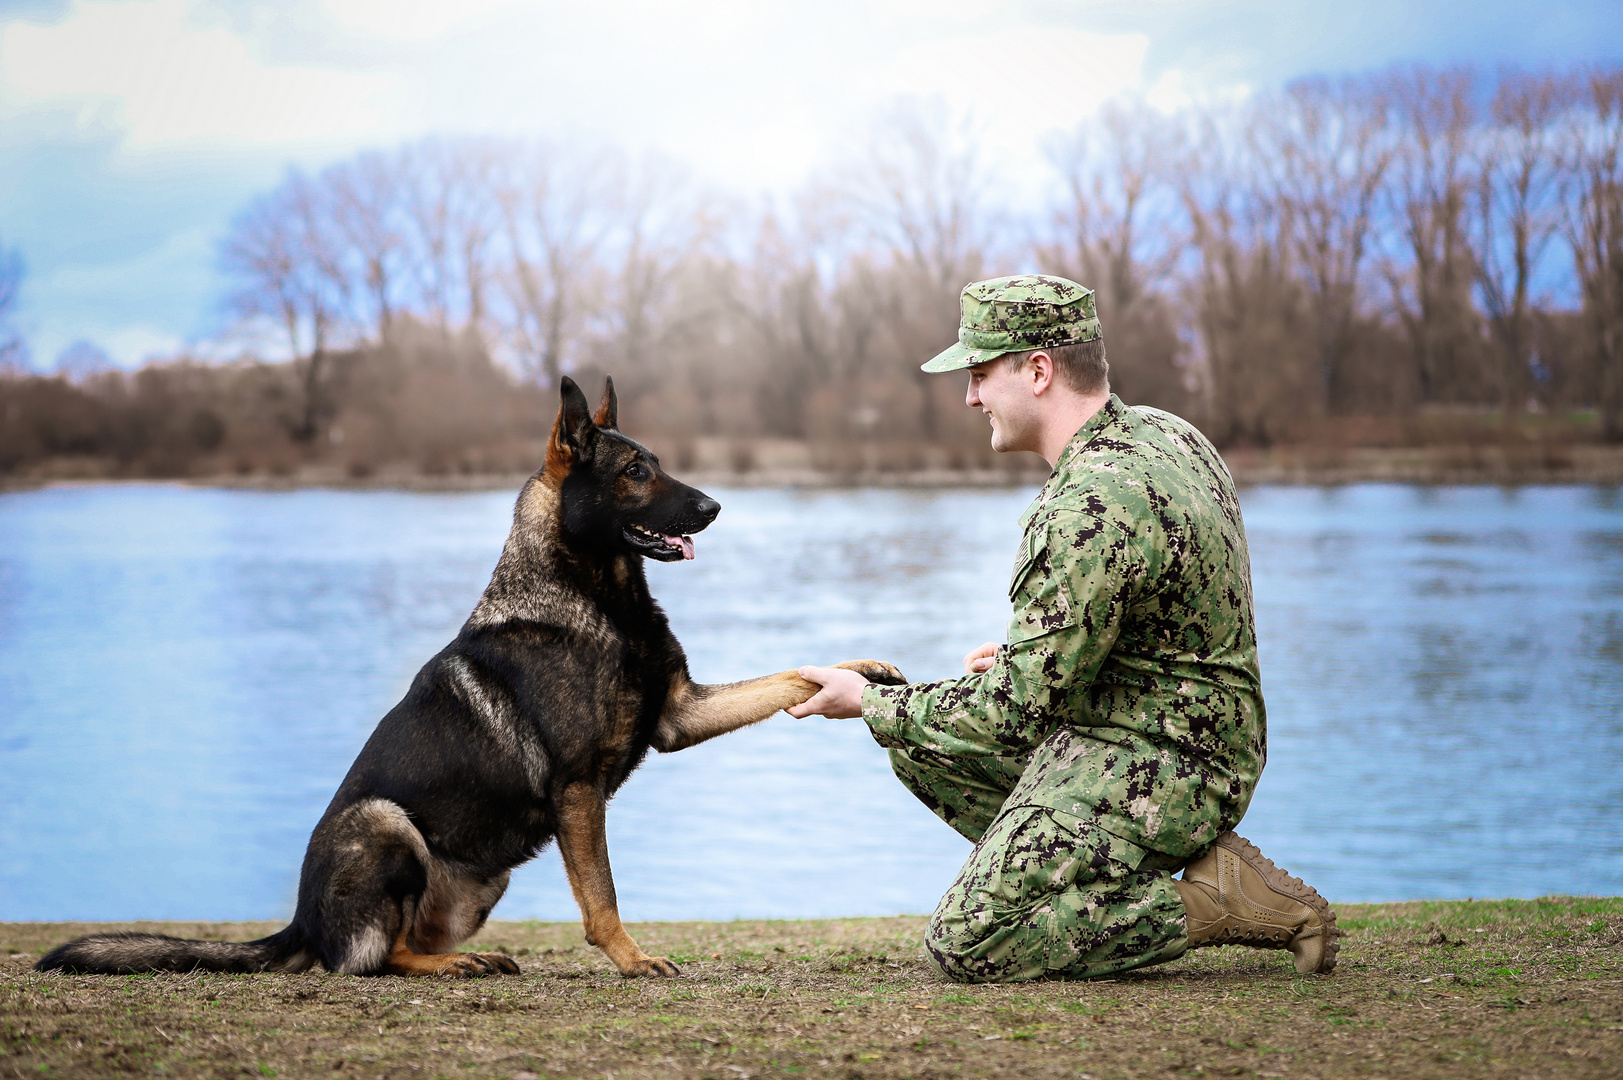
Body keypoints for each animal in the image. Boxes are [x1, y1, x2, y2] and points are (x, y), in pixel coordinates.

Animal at [38, 376, 908, 974]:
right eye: (634, 471)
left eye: (657, 466)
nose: (716, 507)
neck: (597, 598)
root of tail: (299, 923)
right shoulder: (578, 789)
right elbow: (602, 897)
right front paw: (630, 960)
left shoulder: (679, 715)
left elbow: (791, 675)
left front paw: (861, 670)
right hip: (387, 825)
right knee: (370, 960)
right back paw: (452, 965)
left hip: (482, 884)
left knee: (397, 946)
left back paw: (466, 958)